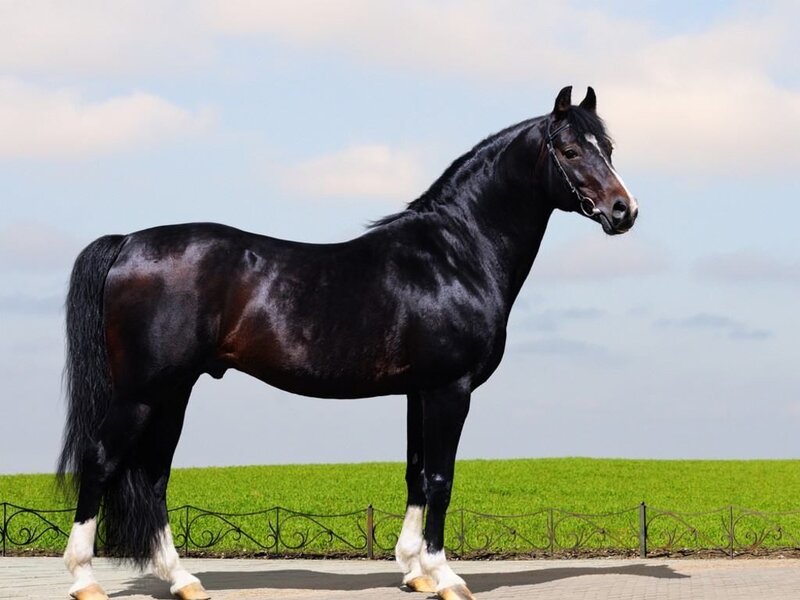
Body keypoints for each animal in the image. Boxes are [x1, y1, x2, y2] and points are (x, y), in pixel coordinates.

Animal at [58, 86, 638, 600]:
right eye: (569, 150)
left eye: (608, 148)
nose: (623, 210)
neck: (453, 256)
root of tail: (128, 242)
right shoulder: (450, 390)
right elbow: (441, 478)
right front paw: (447, 578)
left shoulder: (418, 392)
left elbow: (415, 475)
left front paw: (415, 572)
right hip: (142, 393)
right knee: (103, 461)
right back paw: (86, 581)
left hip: (173, 393)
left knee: (153, 476)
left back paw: (183, 581)